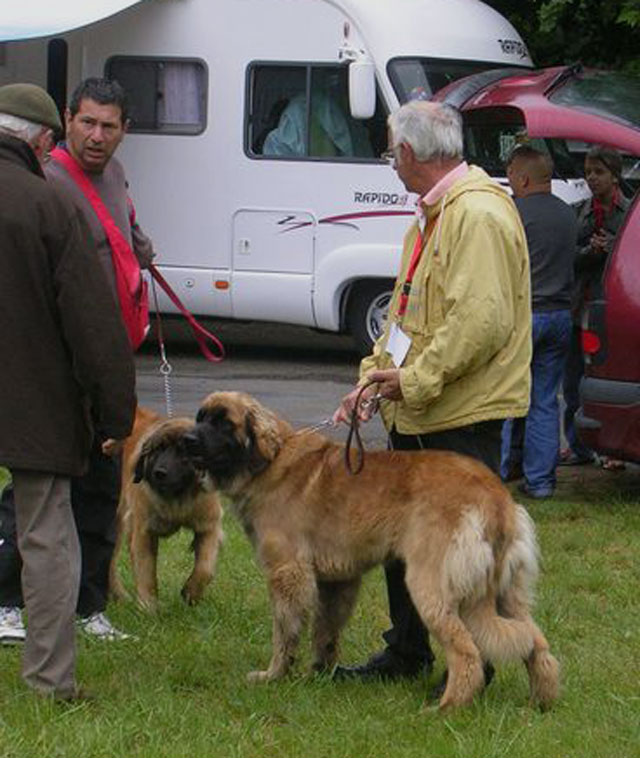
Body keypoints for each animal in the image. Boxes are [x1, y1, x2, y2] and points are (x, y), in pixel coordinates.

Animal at [108, 406, 222, 616]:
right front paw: (149, 608)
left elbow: (205, 568)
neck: (177, 500)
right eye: (158, 449)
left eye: (182, 452)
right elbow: (146, 572)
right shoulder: (144, 531)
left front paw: (190, 593)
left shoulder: (209, 525)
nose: (159, 473)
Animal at [186, 392, 560, 712]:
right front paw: (320, 674)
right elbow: (325, 631)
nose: (188, 439)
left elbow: (285, 631)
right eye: (200, 417)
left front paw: (274, 675)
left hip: (431, 586)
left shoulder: (288, 572)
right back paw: (539, 702)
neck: (269, 461)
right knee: (534, 641)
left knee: (467, 653)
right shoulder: (337, 580)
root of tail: (496, 497)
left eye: (224, 422)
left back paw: (447, 707)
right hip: (507, 592)